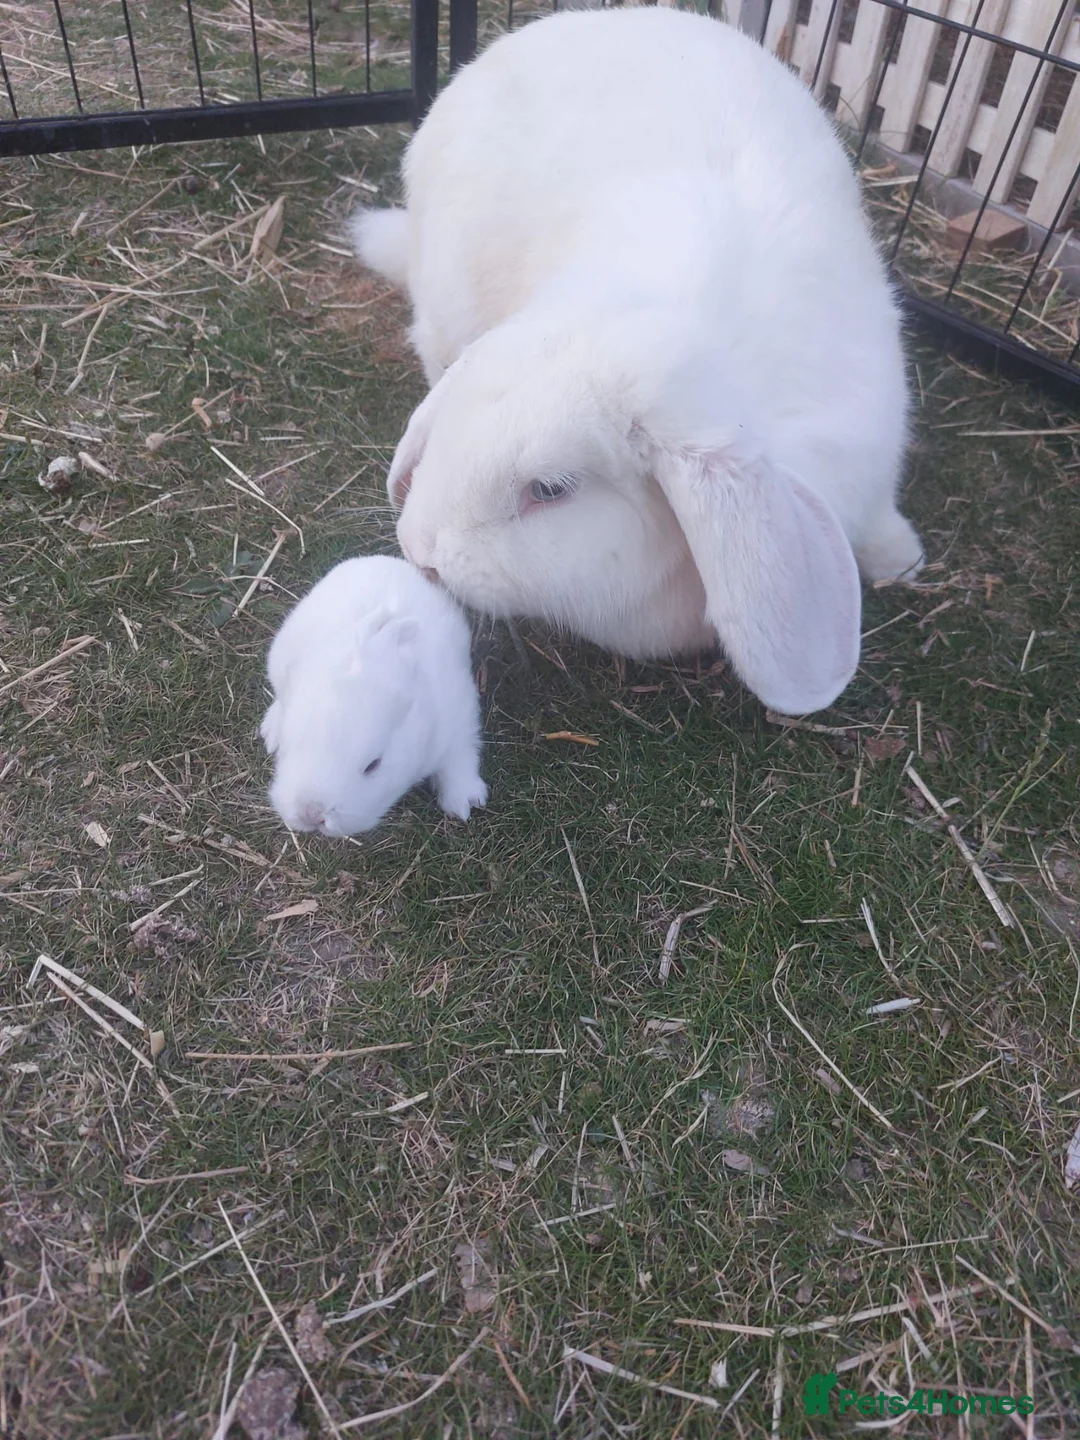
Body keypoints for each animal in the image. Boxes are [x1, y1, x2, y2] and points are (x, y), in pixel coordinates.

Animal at [260, 555, 488, 837]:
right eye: (289, 746)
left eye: (373, 765)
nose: (311, 813)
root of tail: (380, 560)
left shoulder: (460, 720)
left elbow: (460, 759)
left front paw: (464, 803)